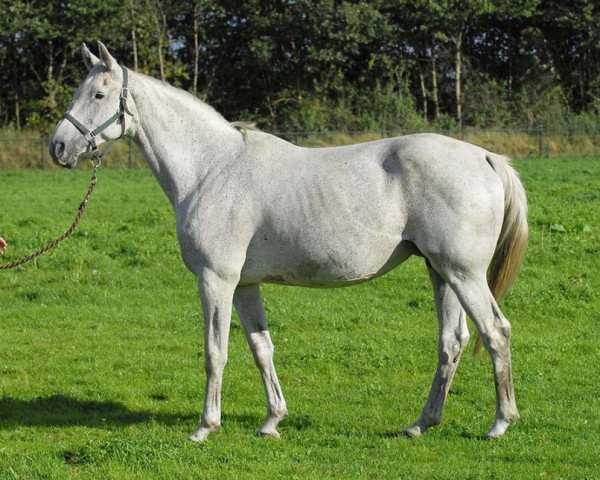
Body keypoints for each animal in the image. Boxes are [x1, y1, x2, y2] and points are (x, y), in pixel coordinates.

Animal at [51, 44, 528, 442]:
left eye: (98, 95)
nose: (58, 146)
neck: (211, 168)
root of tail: (485, 157)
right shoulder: (244, 285)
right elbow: (261, 348)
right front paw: (272, 421)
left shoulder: (216, 280)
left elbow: (215, 351)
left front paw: (205, 427)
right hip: (440, 272)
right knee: (452, 342)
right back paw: (421, 424)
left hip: (463, 274)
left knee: (495, 332)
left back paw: (500, 424)